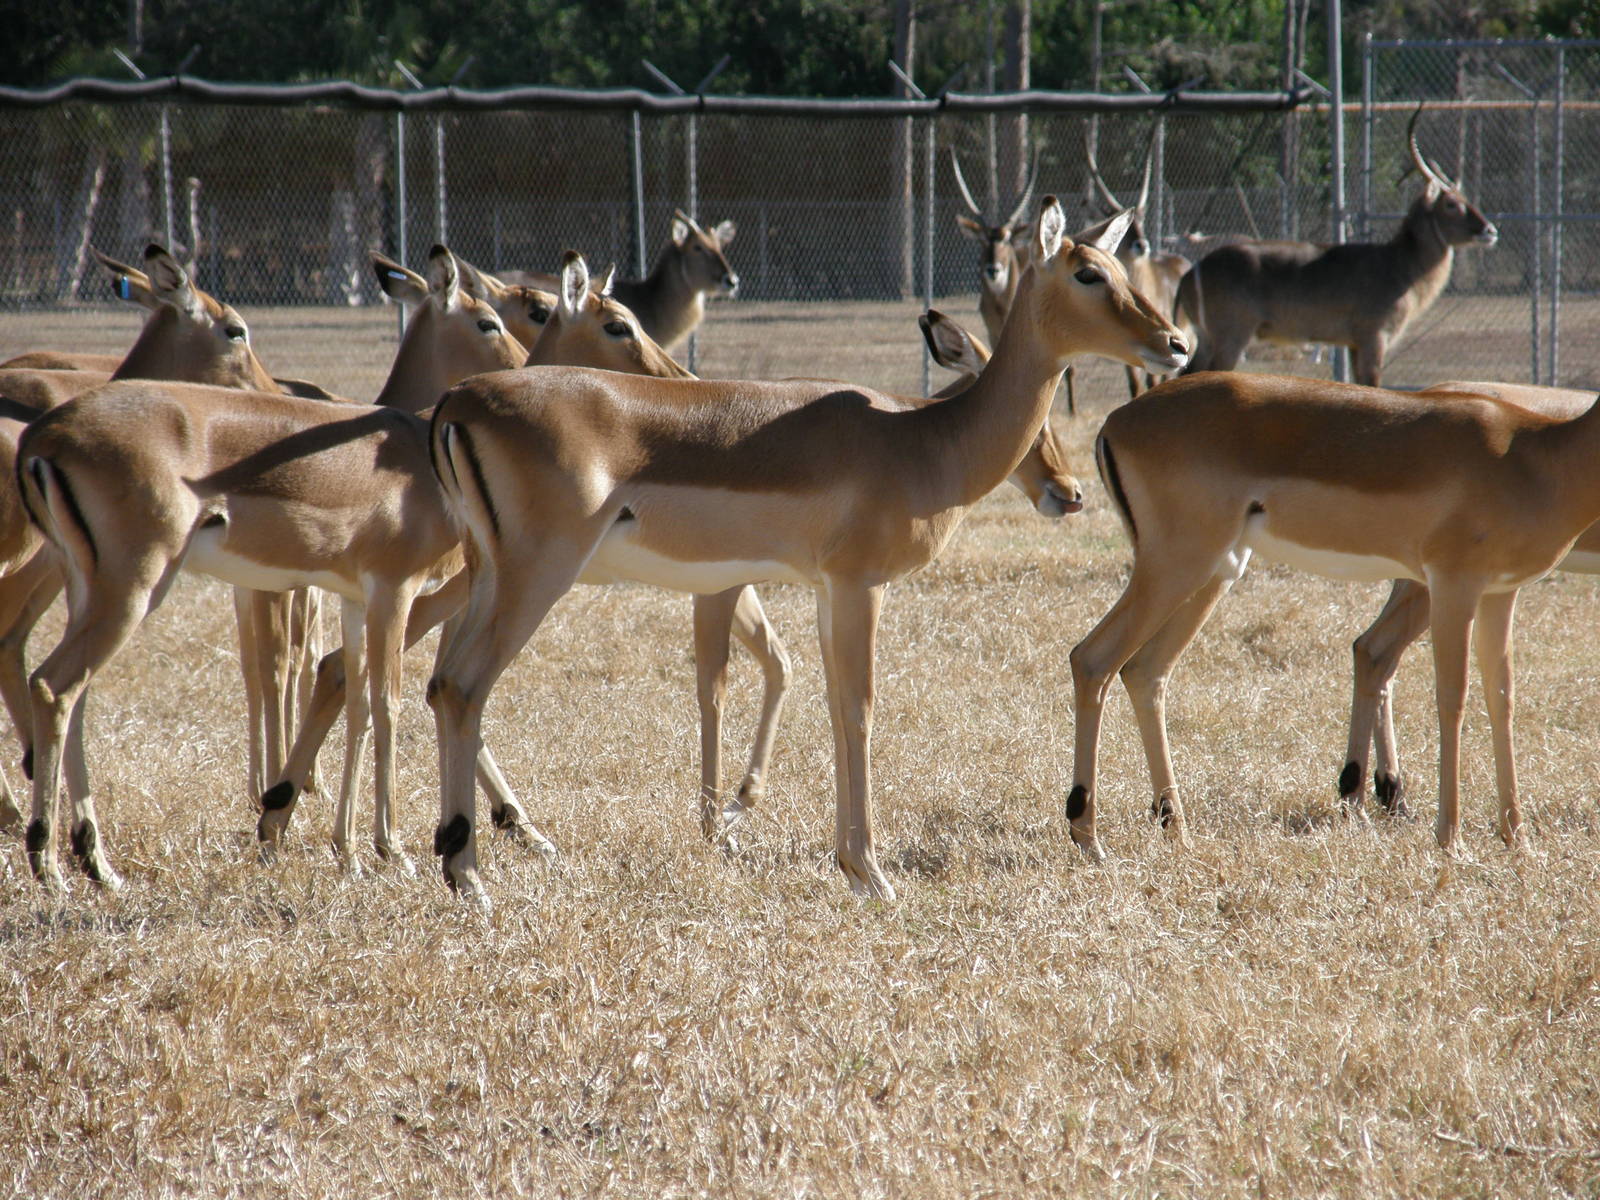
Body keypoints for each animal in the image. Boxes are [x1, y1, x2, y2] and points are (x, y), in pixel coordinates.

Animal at [1064, 370, 1600, 864]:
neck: (1537, 456)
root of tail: (1117, 421)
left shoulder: (1501, 592)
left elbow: (1501, 699)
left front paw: (1518, 842)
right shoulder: (1454, 583)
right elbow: (1453, 699)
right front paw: (1452, 842)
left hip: (1214, 573)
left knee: (1145, 671)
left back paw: (1177, 831)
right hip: (1178, 567)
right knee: (1092, 659)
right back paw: (1089, 839)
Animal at [1175, 108, 1496, 386]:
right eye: (1451, 203)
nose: (1490, 230)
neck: (1400, 265)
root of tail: (1192, 272)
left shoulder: (1352, 344)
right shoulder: (1373, 337)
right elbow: (1373, 385)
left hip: (1207, 338)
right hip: (1231, 336)